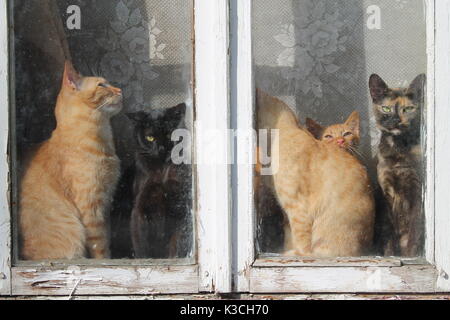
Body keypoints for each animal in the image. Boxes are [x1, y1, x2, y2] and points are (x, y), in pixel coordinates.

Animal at [19, 62, 123, 260]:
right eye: (102, 85)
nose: (120, 90)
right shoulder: (92, 206)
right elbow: (100, 247)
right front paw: (104, 261)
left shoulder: (105, 203)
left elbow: (107, 239)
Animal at [125, 104, 192, 258]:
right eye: (150, 137)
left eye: (169, 135)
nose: (161, 149)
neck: (161, 171)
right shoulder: (140, 209)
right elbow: (141, 247)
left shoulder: (180, 207)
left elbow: (176, 243)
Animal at [370, 74, 426, 256]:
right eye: (386, 109)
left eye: (408, 109)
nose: (395, 120)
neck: (398, 150)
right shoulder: (386, 192)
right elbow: (389, 232)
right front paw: (390, 255)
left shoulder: (417, 191)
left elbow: (415, 230)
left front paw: (410, 256)